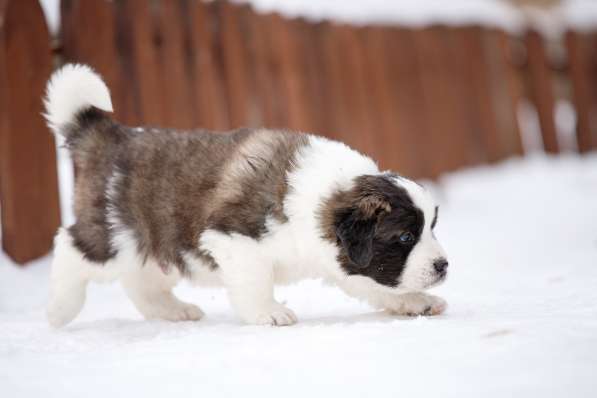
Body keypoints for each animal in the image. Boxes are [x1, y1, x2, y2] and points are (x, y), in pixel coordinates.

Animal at [45, 64, 448, 326]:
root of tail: (114, 135)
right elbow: (256, 281)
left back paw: (173, 311)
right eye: (405, 237)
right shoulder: (234, 237)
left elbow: (374, 284)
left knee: (141, 281)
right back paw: (60, 309)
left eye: (431, 228)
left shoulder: (342, 258)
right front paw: (269, 312)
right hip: (116, 236)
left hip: (155, 246)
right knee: (71, 247)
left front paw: (416, 302)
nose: (443, 265)